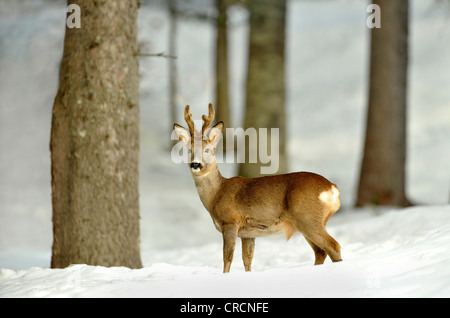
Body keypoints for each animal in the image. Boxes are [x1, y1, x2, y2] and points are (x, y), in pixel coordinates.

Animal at [172, 103, 342, 272]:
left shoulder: (230, 222)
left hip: (307, 217)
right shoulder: (247, 232)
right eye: (189, 150)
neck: (216, 194)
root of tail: (333, 188)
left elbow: (227, 258)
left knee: (333, 246)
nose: (195, 164)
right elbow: (247, 260)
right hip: (307, 222)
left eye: (207, 150)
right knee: (320, 251)